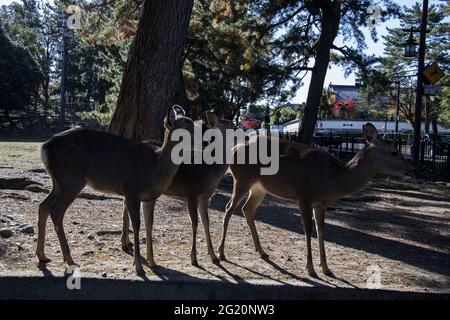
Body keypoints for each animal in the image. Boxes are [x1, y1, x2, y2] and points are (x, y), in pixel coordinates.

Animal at [36, 105, 196, 276]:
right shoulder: (131, 190)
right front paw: (139, 267)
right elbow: (137, 225)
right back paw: (70, 260)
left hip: (59, 182)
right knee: (56, 211)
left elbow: (149, 225)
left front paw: (153, 263)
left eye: (195, 124)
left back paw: (43, 256)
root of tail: (44, 147)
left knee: (43, 206)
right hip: (71, 180)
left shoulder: (150, 198)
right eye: (185, 128)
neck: (155, 167)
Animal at [121, 111, 237, 266]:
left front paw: (214, 256)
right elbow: (194, 223)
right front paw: (194, 258)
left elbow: (206, 222)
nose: (247, 136)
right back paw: (125, 243)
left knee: (125, 204)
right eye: (233, 127)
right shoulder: (191, 193)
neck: (208, 171)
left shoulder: (206, 197)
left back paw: (127, 242)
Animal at [218, 123, 414, 278]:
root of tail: (234, 150)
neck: (333, 179)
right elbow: (308, 230)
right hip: (242, 178)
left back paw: (262, 251)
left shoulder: (322, 204)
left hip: (259, 187)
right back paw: (221, 253)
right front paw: (310, 269)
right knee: (228, 208)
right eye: (394, 152)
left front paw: (326, 268)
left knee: (247, 209)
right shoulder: (304, 195)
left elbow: (322, 231)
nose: (412, 169)